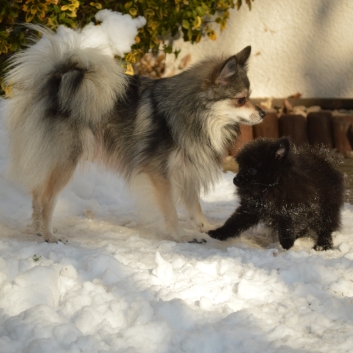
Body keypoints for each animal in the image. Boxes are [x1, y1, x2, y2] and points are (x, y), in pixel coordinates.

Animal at [5, 24, 264, 242]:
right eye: (241, 99)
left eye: (250, 96)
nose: (263, 113)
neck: (194, 112)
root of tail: (57, 83)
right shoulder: (159, 173)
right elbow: (170, 209)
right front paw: (180, 236)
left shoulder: (186, 168)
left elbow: (194, 205)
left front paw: (206, 227)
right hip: (65, 160)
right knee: (46, 199)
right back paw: (49, 235)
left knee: (37, 195)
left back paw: (38, 231)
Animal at [208, 136, 342, 249]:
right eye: (241, 167)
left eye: (252, 170)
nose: (235, 179)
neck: (269, 188)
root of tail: (325, 161)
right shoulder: (250, 209)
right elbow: (234, 222)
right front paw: (219, 233)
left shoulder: (292, 208)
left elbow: (286, 225)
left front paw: (286, 242)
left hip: (326, 209)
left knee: (326, 228)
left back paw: (323, 244)